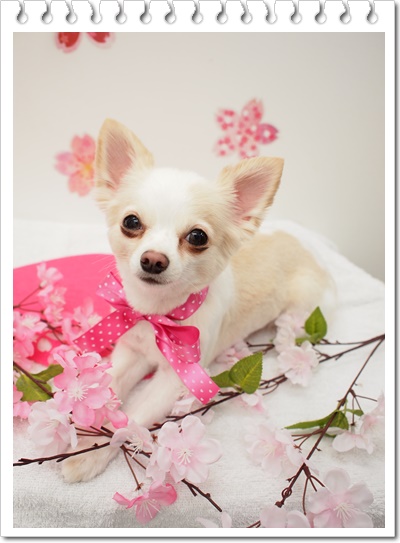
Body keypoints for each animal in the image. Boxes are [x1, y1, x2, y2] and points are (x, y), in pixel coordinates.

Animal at [61, 119, 331, 482]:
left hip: (302, 310)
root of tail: (303, 246)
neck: (158, 314)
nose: (153, 260)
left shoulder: (173, 380)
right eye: (131, 222)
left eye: (197, 237)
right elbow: (108, 392)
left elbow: (129, 421)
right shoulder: (131, 353)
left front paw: (89, 454)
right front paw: (87, 437)